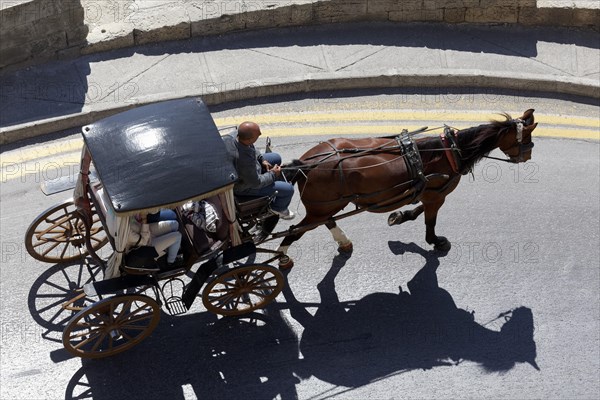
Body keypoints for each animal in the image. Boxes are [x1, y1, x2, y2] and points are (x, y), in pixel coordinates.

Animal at [274, 108, 536, 268]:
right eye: (528, 140)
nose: (527, 157)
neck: (449, 151)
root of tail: (304, 165)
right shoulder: (437, 195)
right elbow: (430, 220)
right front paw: (435, 240)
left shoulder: (429, 191)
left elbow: (418, 208)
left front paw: (401, 216)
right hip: (321, 207)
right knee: (295, 231)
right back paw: (282, 257)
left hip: (327, 206)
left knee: (325, 222)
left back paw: (343, 242)